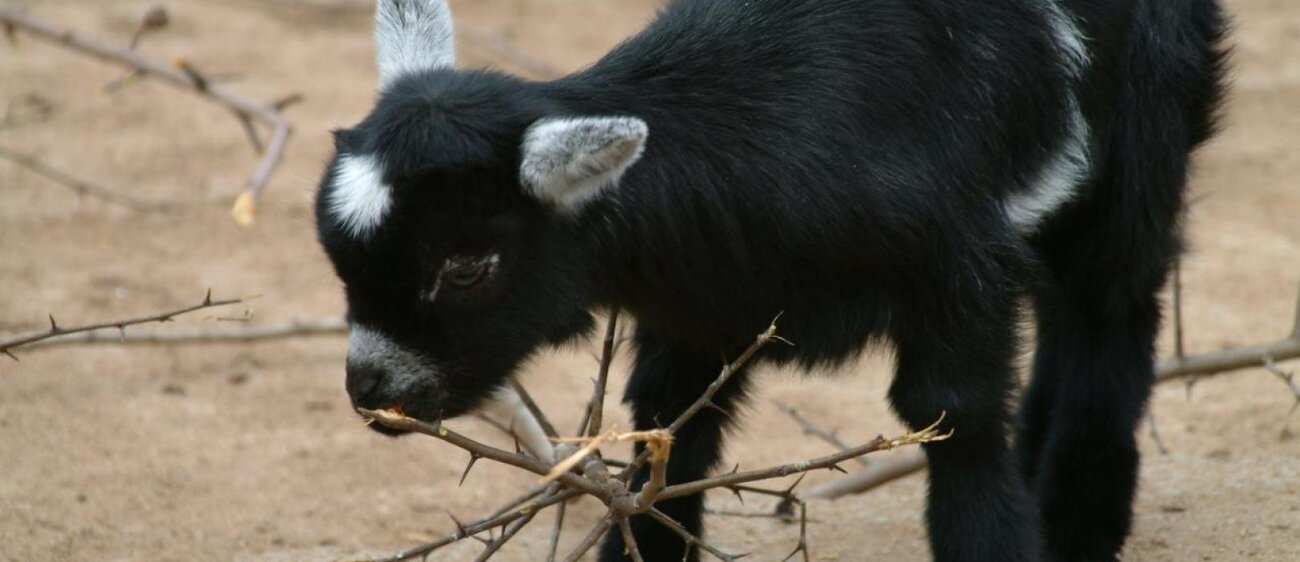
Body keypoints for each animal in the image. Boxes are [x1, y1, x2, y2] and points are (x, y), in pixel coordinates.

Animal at [317, 2, 1227, 559]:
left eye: (467, 265)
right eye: (338, 258)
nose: (373, 389)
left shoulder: (956, 270)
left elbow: (957, 422)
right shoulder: (704, 302)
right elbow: (669, 434)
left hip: (1144, 132)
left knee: (1112, 305)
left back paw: (1078, 521)